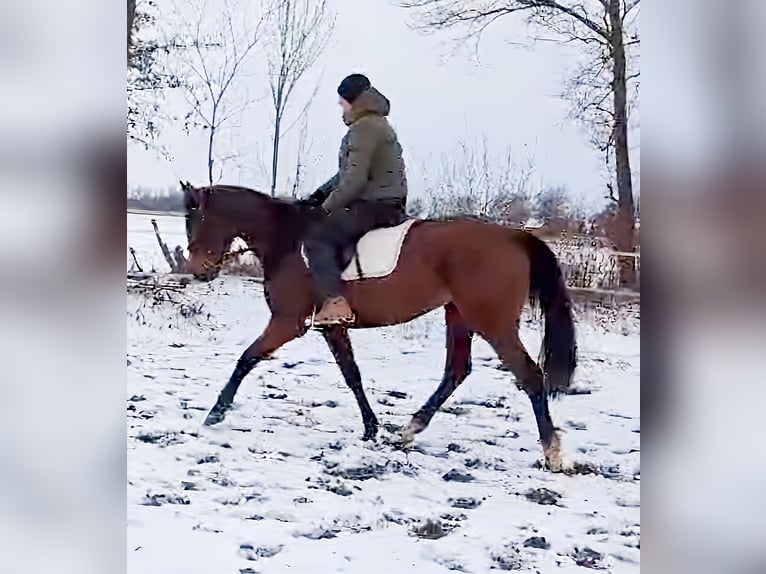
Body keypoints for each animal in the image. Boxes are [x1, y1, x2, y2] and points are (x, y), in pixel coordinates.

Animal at [181, 182, 577, 472]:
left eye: (196, 219)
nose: (199, 271)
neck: (286, 240)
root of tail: (514, 237)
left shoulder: (288, 322)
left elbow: (246, 359)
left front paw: (216, 412)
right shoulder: (332, 327)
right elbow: (352, 374)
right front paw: (371, 428)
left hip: (492, 322)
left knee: (529, 376)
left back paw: (552, 454)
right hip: (458, 315)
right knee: (456, 371)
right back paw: (408, 432)